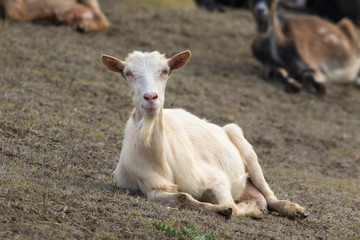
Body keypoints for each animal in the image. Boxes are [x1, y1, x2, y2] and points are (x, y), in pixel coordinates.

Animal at [101, 49, 306, 218]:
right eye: (127, 73)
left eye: (165, 71)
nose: (150, 98)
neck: (159, 159)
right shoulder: (152, 187)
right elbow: (184, 197)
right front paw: (221, 209)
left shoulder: (216, 179)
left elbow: (234, 208)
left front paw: (250, 208)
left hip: (244, 146)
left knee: (269, 194)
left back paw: (294, 209)